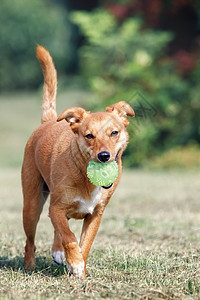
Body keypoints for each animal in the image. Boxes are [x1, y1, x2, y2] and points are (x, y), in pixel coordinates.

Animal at [21, 45, 134, 278]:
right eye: (89, 135)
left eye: (114, 132)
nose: (104, 156)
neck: (86, 177)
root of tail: (48, 122)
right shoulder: (56, 208)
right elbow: (69, 236)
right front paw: (74, 263)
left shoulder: (96, 214)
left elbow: (85, 244)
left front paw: (79, 269)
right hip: (32, 204)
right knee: (31, 241)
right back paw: (30, 266)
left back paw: (58, 253)